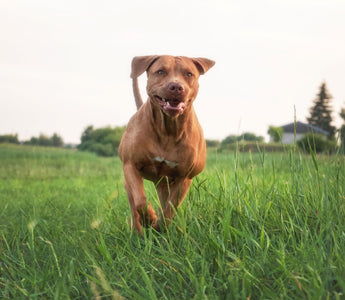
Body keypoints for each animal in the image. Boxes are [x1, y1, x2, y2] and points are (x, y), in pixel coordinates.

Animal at [119, 56, 215, 234]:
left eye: (189, 74)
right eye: (160, 71)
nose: (176, 87)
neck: (168, 129)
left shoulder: (184, 177)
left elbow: (170, 209)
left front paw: (160, 226)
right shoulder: (130, 165)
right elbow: (140, 201)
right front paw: (149, 219)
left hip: (164, 184)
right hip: (129, 182)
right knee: (133, 206)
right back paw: (138, 230)